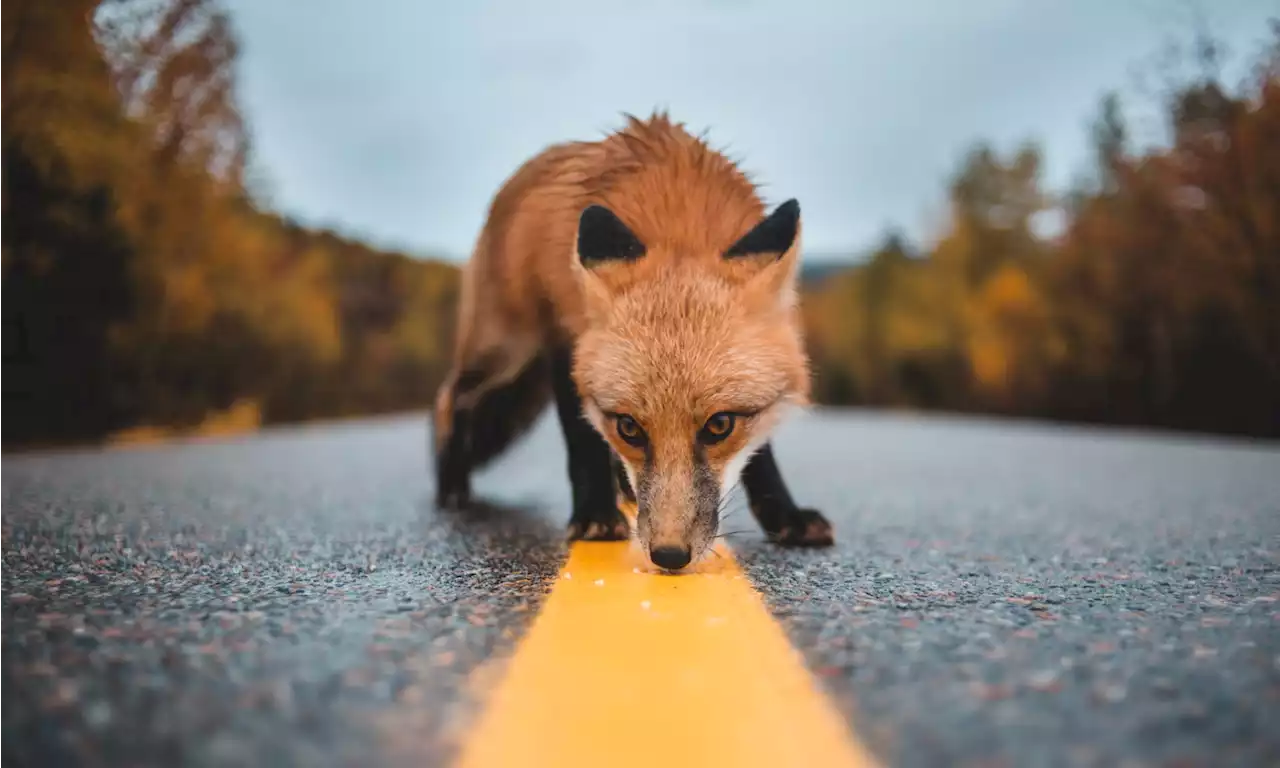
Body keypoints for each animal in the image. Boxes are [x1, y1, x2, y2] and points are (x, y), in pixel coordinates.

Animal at [430, 110, 829, 573]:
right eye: (629, 428)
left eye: (720, 426)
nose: (670, 555)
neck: (678, 217)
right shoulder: (565, 340)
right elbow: (582, 439)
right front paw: (594, 516)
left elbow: (760, 454)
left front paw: (785, 515)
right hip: (504, 351)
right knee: (451, 398)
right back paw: (451, 484)